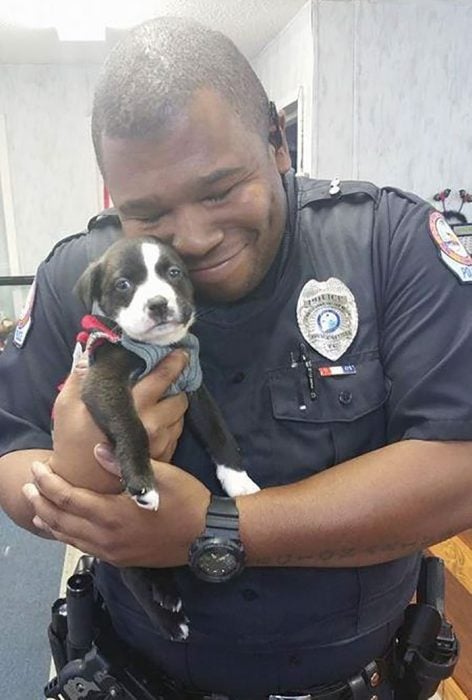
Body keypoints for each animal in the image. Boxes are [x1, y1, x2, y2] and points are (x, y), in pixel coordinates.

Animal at [74, 237, 258, 640]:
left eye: (173, 273)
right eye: (123, 284)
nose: (158, 304)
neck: (157, 348)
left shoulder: (193, 384)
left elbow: (218, 430)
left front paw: (238, 480)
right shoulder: (104, 383)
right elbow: (132, 425)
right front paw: (143, 481)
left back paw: (167, 592)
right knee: (132, 577)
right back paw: (168, 621)